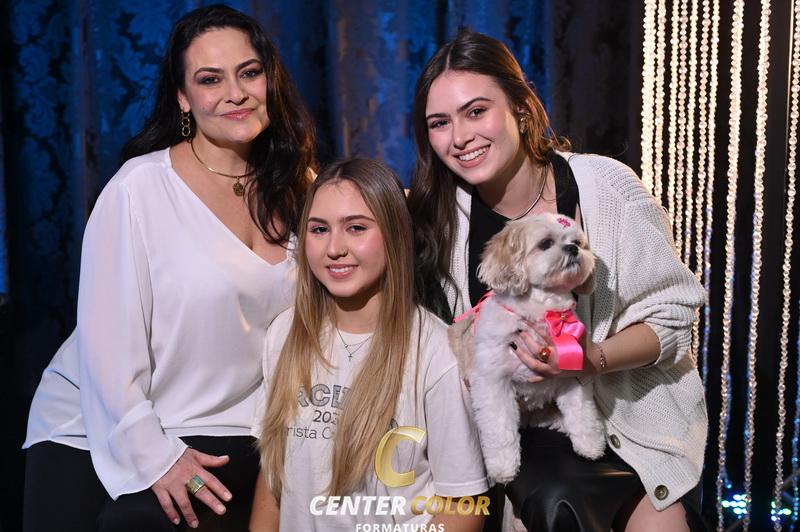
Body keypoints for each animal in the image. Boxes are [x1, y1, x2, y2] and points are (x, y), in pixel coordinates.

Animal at [449, 212, 606, 484]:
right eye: (545, 243)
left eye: (577, 241)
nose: (573, 248)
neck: (543, 312)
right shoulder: (492, 383)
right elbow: (500, 429)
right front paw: (503, 467)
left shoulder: (572, 375)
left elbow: (582, 412)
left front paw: (590, 443)